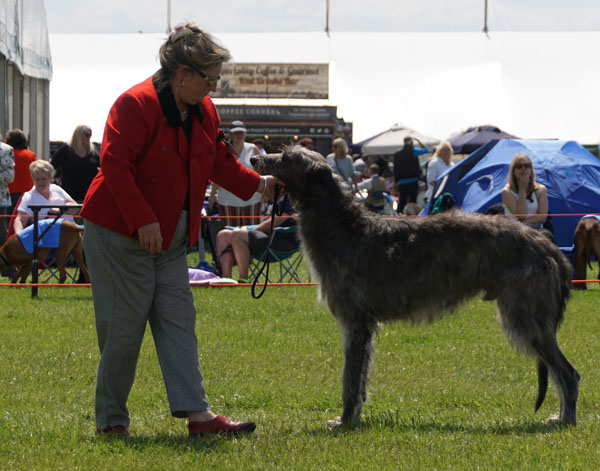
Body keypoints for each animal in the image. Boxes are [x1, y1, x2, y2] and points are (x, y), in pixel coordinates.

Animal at [251, 147, 580, 428]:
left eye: (287, 157)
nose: (255, 160)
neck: (344, 227)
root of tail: (552, 249)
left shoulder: (355, 320)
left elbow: (349, 378)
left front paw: (343, 421)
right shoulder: (365, 325)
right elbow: (360, 378)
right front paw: (353, 417)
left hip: (526, 314)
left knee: (569, 373)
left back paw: (565, 419)